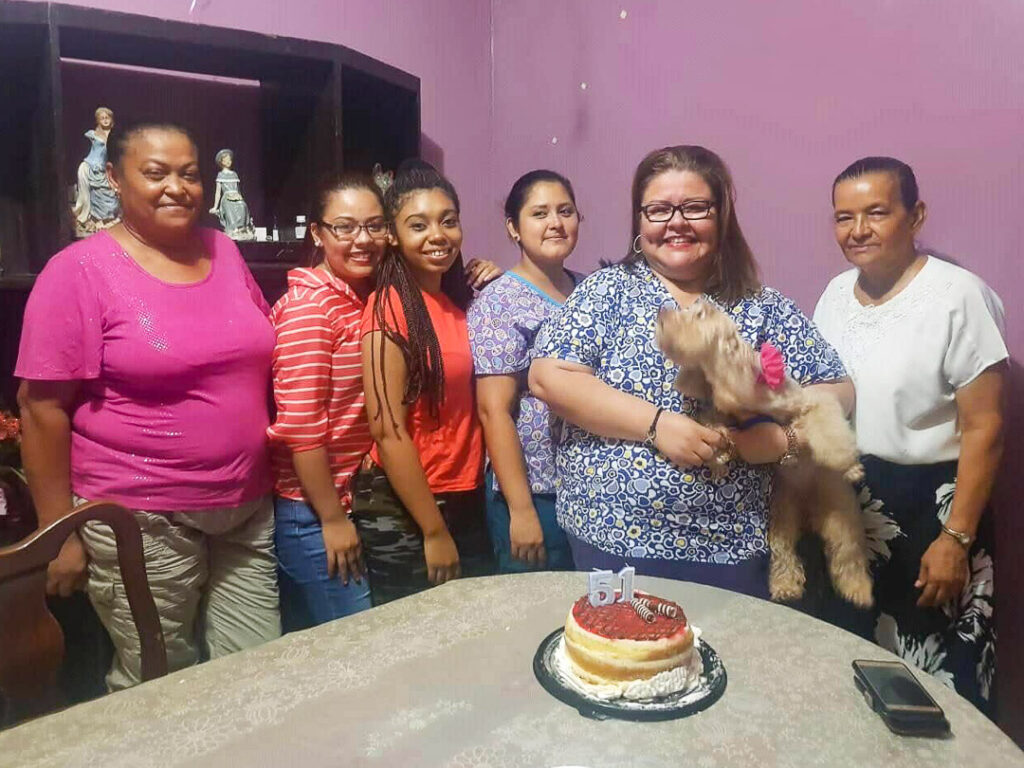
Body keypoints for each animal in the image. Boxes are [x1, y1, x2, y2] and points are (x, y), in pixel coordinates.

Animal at [655, 301, 872, 608]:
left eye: (699, 314)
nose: (661, 313)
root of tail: (810, 511)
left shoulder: (812, 402)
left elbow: (829, 431)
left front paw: (850, 465)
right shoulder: (721, 409)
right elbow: (712, 424)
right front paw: (718, 458)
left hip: (840, 513)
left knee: (848, 551)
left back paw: (859, 589)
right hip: (782, 515)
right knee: (785, 552)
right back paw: (785, 586)